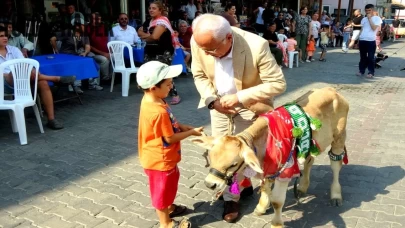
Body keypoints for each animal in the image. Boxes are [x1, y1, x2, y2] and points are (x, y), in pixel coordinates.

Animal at [192, 87, 348, 226]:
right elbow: (264, 188)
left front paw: (276, 223)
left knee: (336, 164)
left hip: (339, 137)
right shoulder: (268, 169)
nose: (210, 184)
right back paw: (302, 187)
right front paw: (261, 207)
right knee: (309, 160)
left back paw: (336, 195)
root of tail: (332, 90)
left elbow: (277, 202)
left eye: (233, 164)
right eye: (211, 158)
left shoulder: (284, 171)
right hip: (312, 143)